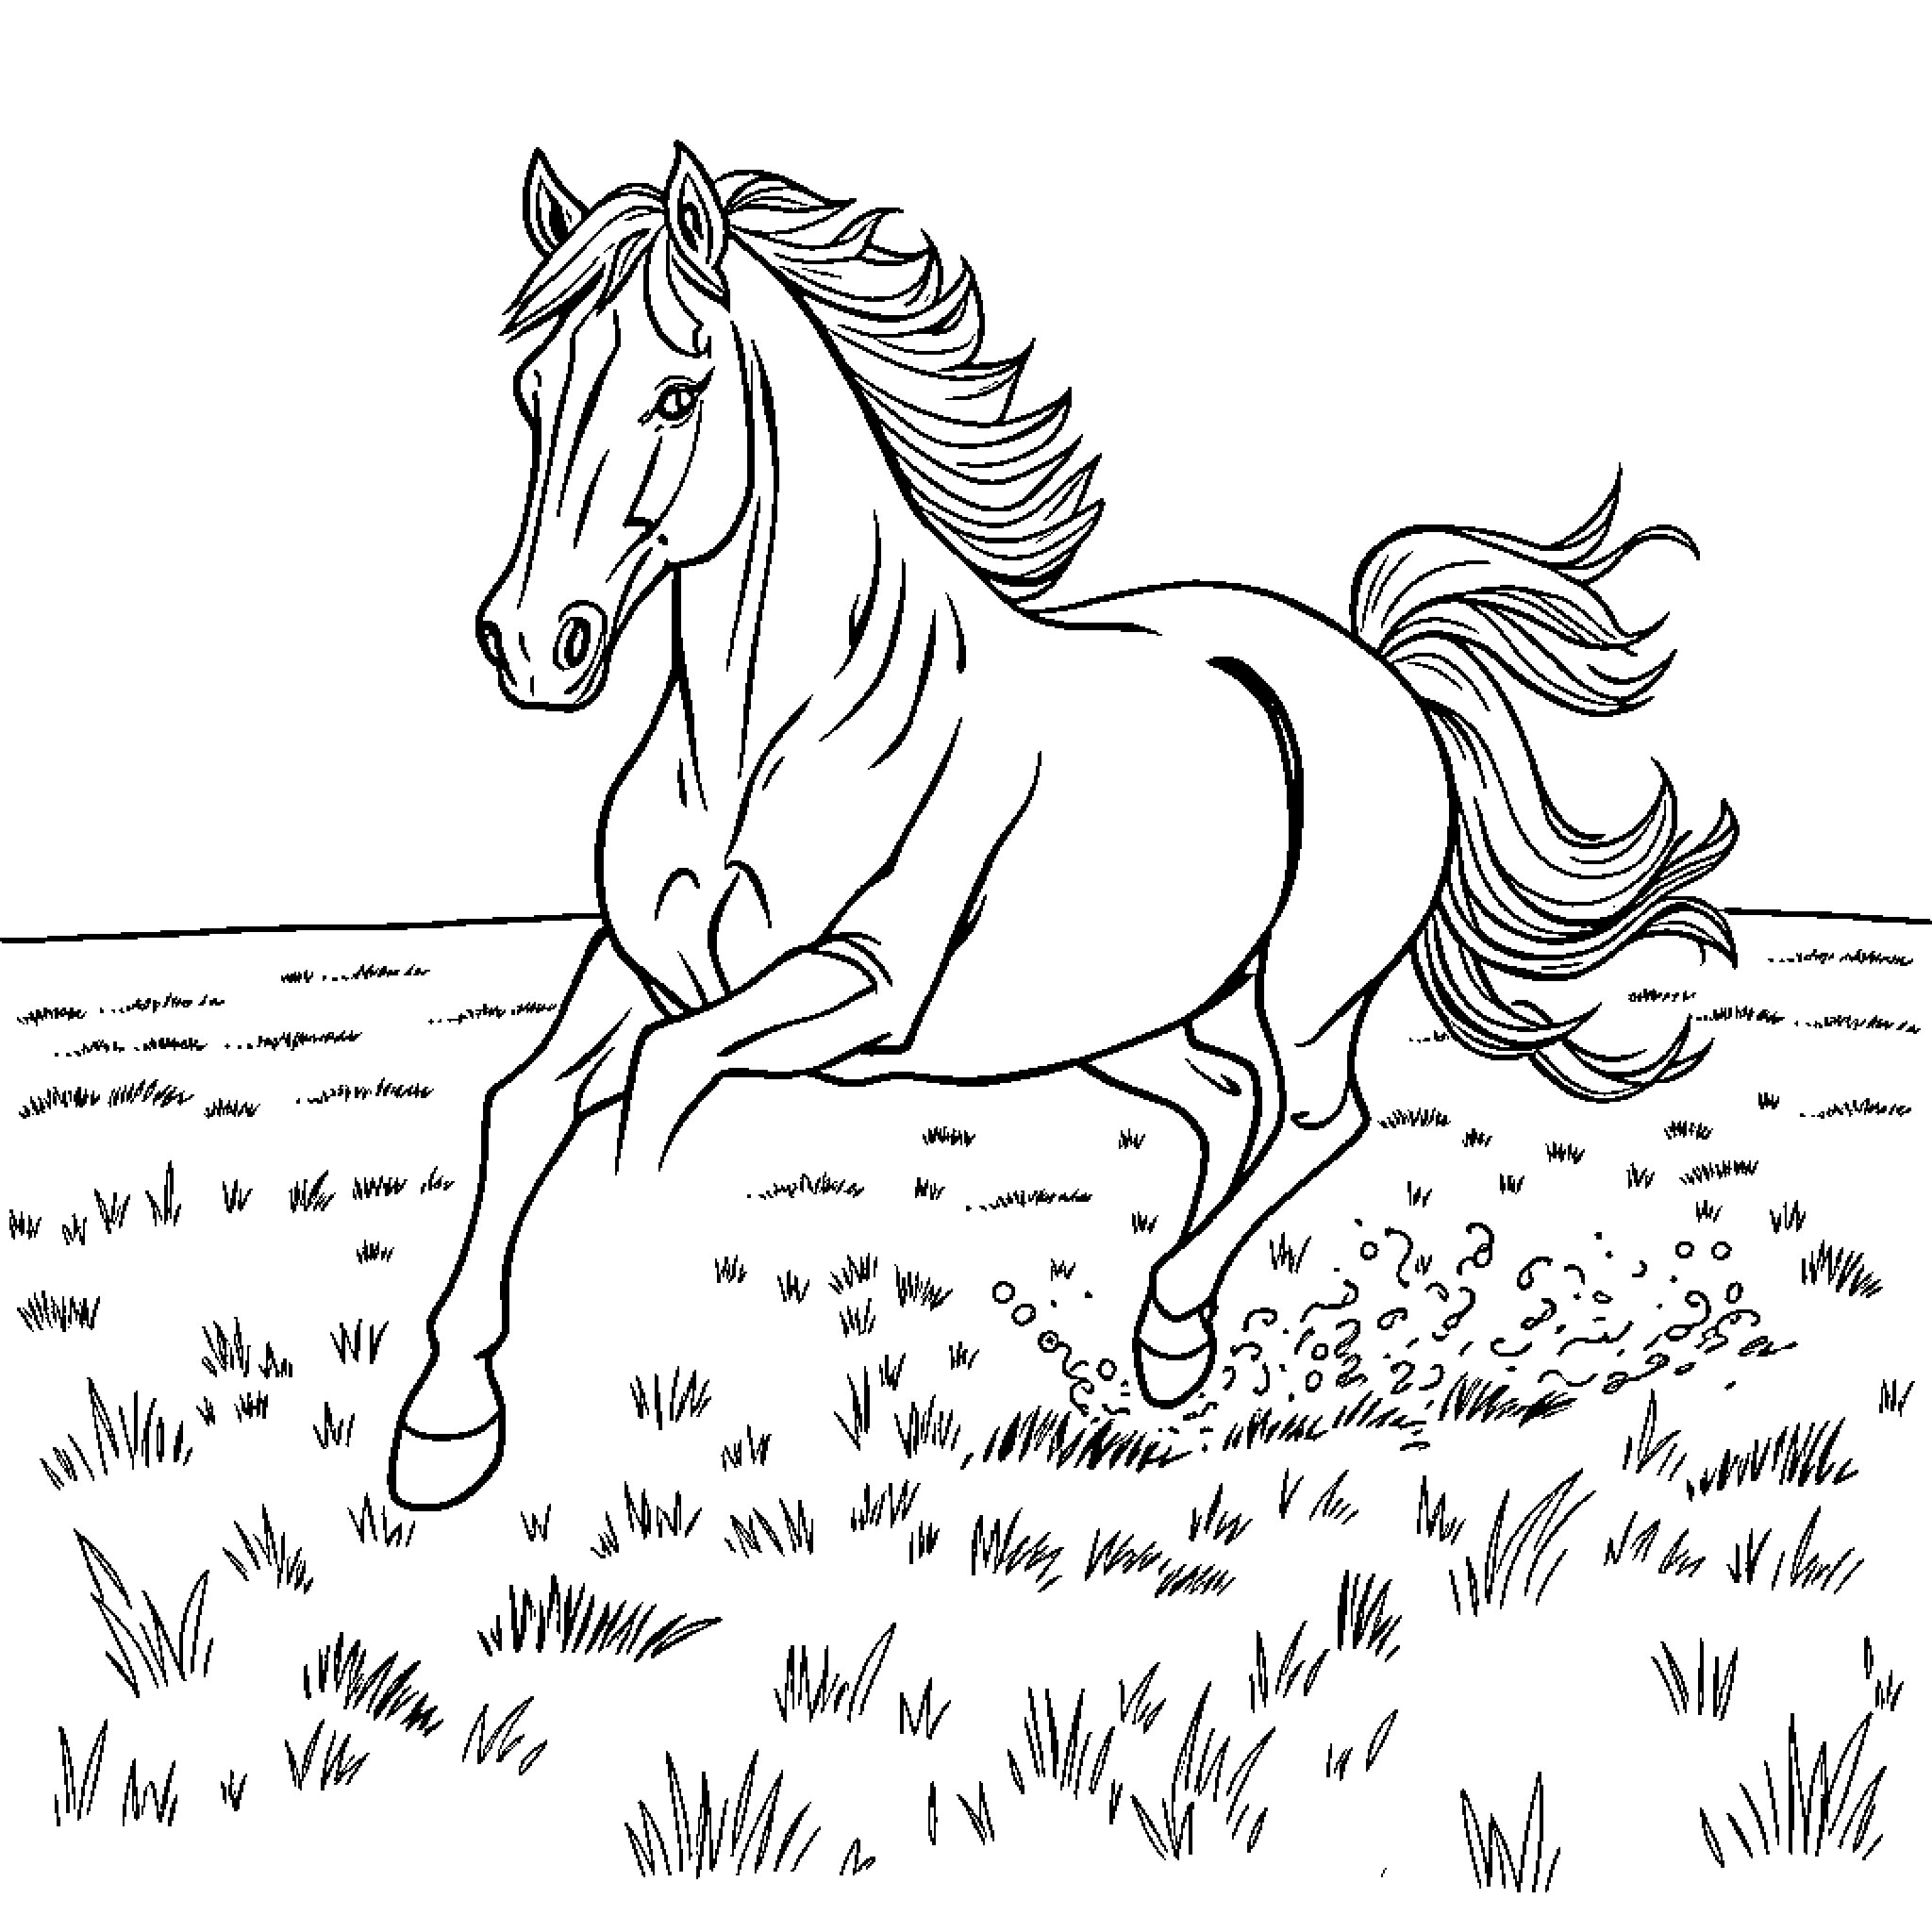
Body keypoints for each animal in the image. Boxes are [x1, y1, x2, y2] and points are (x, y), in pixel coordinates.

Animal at [387, 143, 1739, 1511]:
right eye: (532, 391)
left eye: (674, 395)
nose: (531, 644)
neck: (766, 741)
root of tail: (1376, 668)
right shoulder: (641, 965)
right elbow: (519, 1105)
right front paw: (445, 1429)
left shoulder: (853, 989)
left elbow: (654, 1107)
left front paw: (623, 1353)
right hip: (1118, 1014)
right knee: (1223, 1101)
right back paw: (1171, 1346)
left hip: (1309, 991)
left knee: (1319, 1118)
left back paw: (1176, 1317)